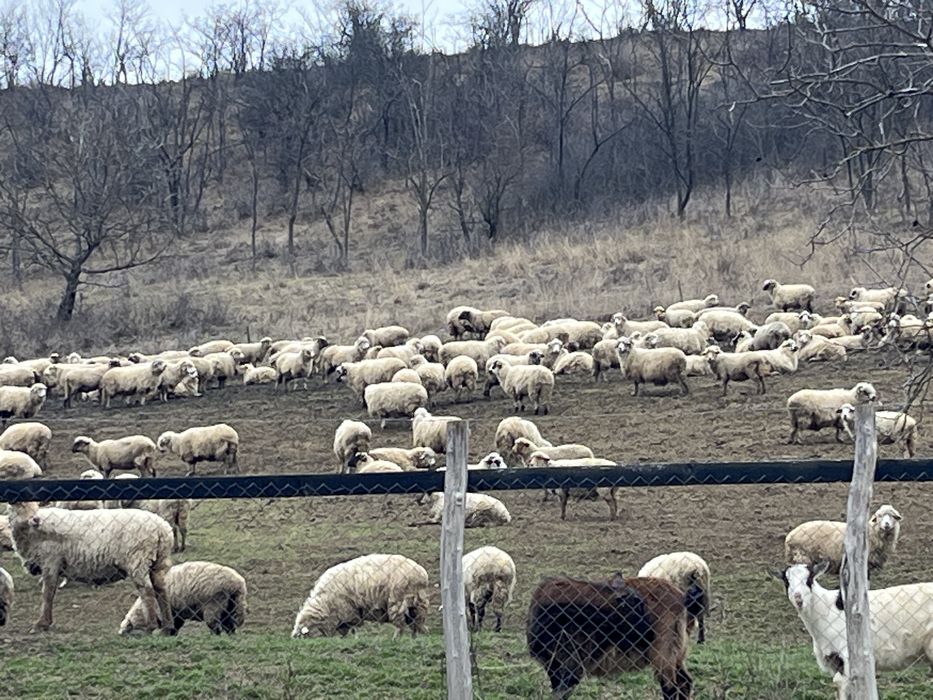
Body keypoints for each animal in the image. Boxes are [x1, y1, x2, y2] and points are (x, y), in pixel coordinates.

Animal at [292, 554, 429, 638]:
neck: (324, 602)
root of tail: (420, 573)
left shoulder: (348, 610)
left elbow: (353, 628)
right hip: (418, 604)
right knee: (417, 624)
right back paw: (416, 639)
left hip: (397, 601)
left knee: (401, 626)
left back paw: (396, 640)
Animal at [527, 572, 693, 700]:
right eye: (635, 608)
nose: (648, 632)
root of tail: (679, 598)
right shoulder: (554, 664)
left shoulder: (569, 661)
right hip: (677, 651)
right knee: (685, 683)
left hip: (663, 650)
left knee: (670, 688)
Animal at [776, 562, 933, 700]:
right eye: (786, 582)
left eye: (809, 579)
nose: (798, 599)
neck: (826, 609)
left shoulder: (847, 656)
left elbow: (840, 684)